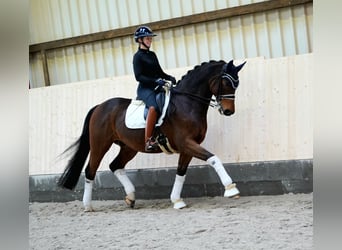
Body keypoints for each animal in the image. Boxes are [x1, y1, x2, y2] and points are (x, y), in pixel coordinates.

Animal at [58, 59, 246, 210]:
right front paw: (231, 189)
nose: (228, 111)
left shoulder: (188, 147)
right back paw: (88, 206)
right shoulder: (186, 143)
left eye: (237, 84)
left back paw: (130, 197)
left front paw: (177, 201)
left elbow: (181, 172)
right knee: (90, 170)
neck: (187, 103)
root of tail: (99, 107)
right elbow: (213, 159)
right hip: (100, 144)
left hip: (129, 147)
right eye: (226, 82)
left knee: (115, 165)